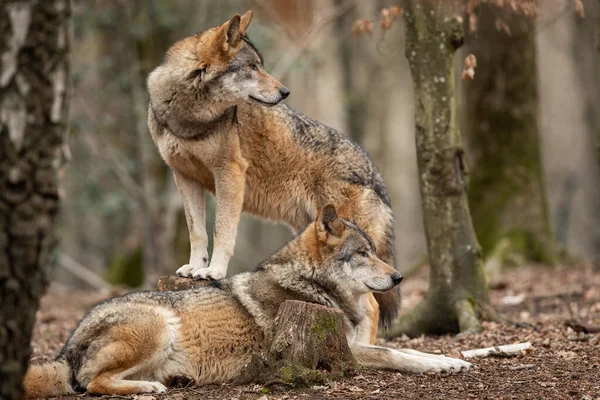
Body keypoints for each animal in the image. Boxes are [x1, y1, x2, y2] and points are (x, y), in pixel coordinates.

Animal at [24, 205, 474, 398]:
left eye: (374, 251)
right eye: (362, 254)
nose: (398, 277)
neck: (312, 284)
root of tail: (66, 346)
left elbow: (401, 347)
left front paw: (450, 359)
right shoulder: (344, 352)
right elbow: (396, 352)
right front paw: (445, 363)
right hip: (158, 327)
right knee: (90, 383)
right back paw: (148, 387)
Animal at [145, 10, 398, 330]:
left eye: (261, 65)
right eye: (252, 67)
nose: (285, 91)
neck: (190, 119)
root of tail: (375, 174)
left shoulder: (229, 173)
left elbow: (222, 230)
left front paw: (214, 271)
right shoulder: (184, 177)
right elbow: (198, 232)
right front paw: (194, 267)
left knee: (373, 306)